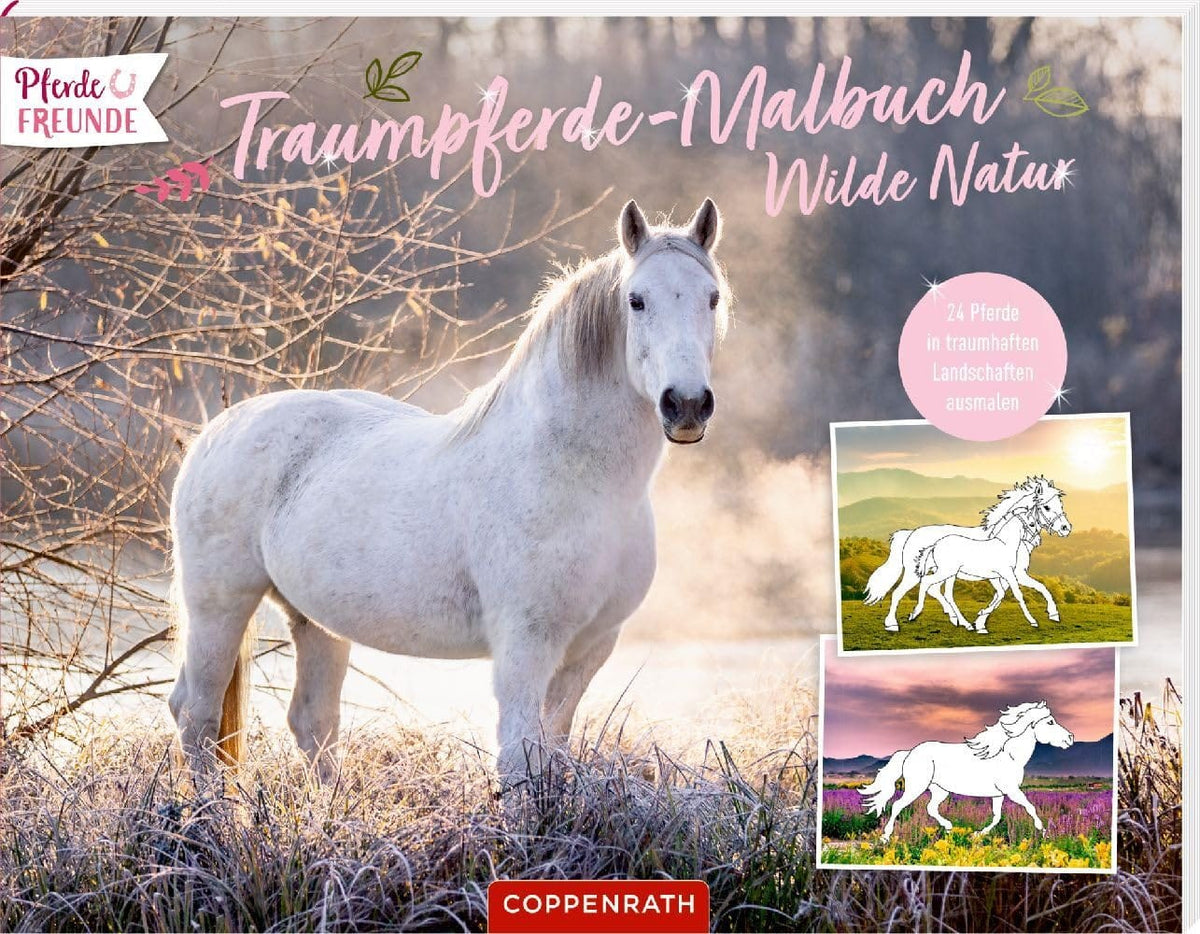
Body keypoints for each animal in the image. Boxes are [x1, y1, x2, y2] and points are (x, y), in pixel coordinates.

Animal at [167, 198, 731, 787]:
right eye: (636, 300)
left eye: (712, 297)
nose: (686, 405)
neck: (575, 475)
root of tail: (214, 432)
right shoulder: (524, 645)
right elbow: (519, 759)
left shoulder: (589, 648)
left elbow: (551, 751)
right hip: (219, 604)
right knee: (197, 715)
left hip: (314, 619)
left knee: (312, 722)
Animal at [859, 701, 1075, 844]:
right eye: (1050, 722)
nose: (1070, 738)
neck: (1009, 756)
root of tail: (909, 752)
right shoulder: (1012, 791)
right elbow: (1030, 808)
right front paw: (1045, 833)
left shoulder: (999, 794)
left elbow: (997, 816)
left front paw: (977, 834)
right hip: (916, 787)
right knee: (897, 805)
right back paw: (885, 837)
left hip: (940, 790)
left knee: (931, 808)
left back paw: (949, 828)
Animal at [861, 476, 1070, 633]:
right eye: (1047, 507)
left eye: (1060, 504)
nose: (1066, 528)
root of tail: (910, 534)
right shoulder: (1015, 573)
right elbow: (1035, 589)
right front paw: (1052, 615)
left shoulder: (1000, 575)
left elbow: (1003, 595)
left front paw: (980, 621)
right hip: (917, 573)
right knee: (902, 592)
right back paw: (893, 623)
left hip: (943, 572)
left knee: (935, 590)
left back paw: (956, 619)